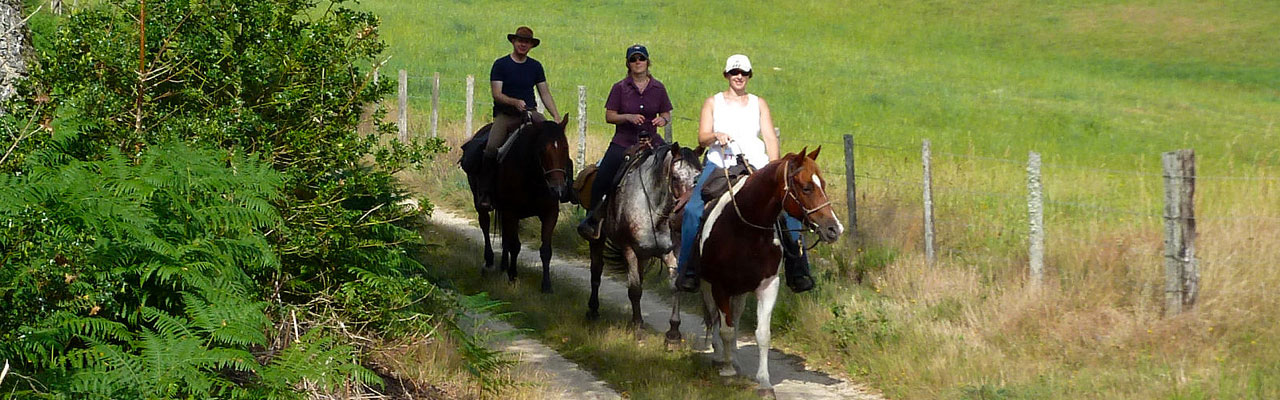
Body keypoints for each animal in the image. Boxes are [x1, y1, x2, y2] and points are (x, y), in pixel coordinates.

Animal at [460, 114, 570, 292]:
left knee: (504, 236)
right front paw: (513, 276)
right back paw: (489, 262)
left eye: (565, 149)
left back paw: (503, 265)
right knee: (485, 225)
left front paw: (546, 285)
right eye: (542, 150)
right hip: (480, 202)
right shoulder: (512, 212)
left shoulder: (549, 214)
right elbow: (515, 245)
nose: (558, 190)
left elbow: (545, 250)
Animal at [696, 146, 844, 397]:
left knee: (734, 318)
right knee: (715, 317)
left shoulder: (767, 285)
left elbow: (762, 334)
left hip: (740, 289)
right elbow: (725, 329)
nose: (834, 229)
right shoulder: (720, 285)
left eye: (822, 184)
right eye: (806, 187)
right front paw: (727, 373)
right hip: (708, 285)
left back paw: (734, 359)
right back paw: (720, 357)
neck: (745, 229)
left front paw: (764, 383)